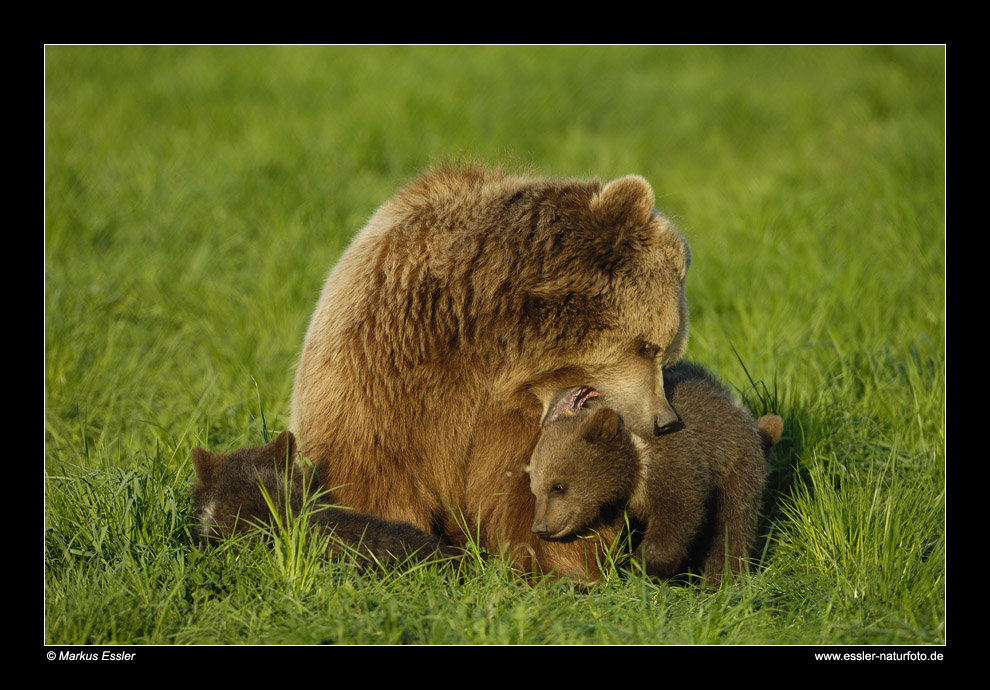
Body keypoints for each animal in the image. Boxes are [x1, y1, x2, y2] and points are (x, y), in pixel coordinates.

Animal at [292, 165, 688, 580]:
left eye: (667, 354)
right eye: (648, 347)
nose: (666, 420)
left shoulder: (516, 426)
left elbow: (541, 484)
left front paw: (559, 562)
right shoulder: (386, 361)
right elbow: (376, 472)